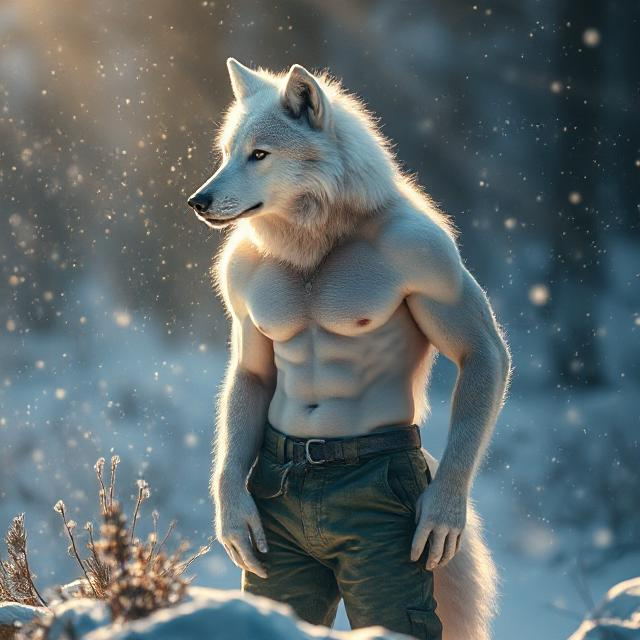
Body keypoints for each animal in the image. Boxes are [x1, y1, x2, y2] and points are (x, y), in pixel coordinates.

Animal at [189, 59, 511, 640]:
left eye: (259, 154)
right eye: (227, 151)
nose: (196, 202)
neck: (318, 237)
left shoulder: (432, 258)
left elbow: (482, 350)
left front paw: (443, 513)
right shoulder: (241, 298)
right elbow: (251, 373)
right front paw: (232, 516)